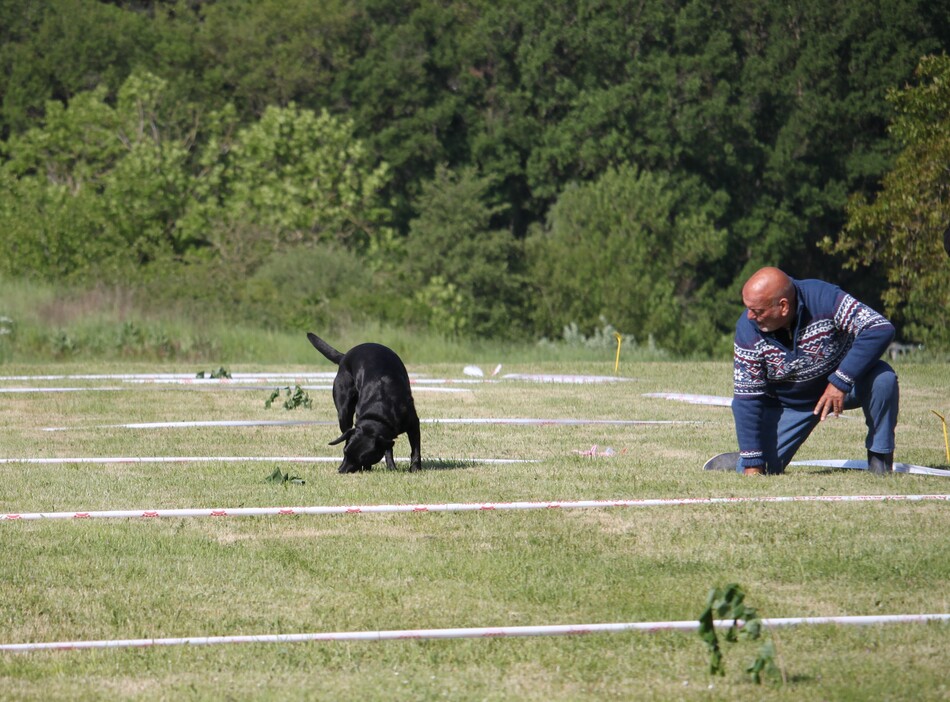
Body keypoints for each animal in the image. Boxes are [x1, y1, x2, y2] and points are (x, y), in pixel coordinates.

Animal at [306, 332, 422, 476]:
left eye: (362, 458)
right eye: (345, 452)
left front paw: (415, 468)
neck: (379, 411)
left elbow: (415, 449)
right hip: (343, 412)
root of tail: (345, 356)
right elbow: (388, 449)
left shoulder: (413, 423)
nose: (341, 471)